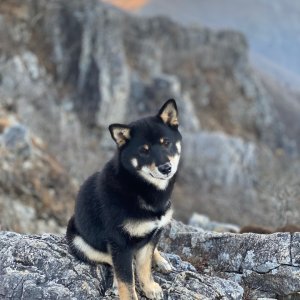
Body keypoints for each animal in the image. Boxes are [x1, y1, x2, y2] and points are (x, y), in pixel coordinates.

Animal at [66, 99, 182, 298]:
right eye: (144, 151)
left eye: (166, 142)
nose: (166, 168)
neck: (139, 187)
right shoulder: (120, 244)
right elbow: (127, 282)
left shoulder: (152, 233)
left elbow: (144, 267)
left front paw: (149, 287)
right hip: (79, 242)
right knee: (111, 261)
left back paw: (159, 260)